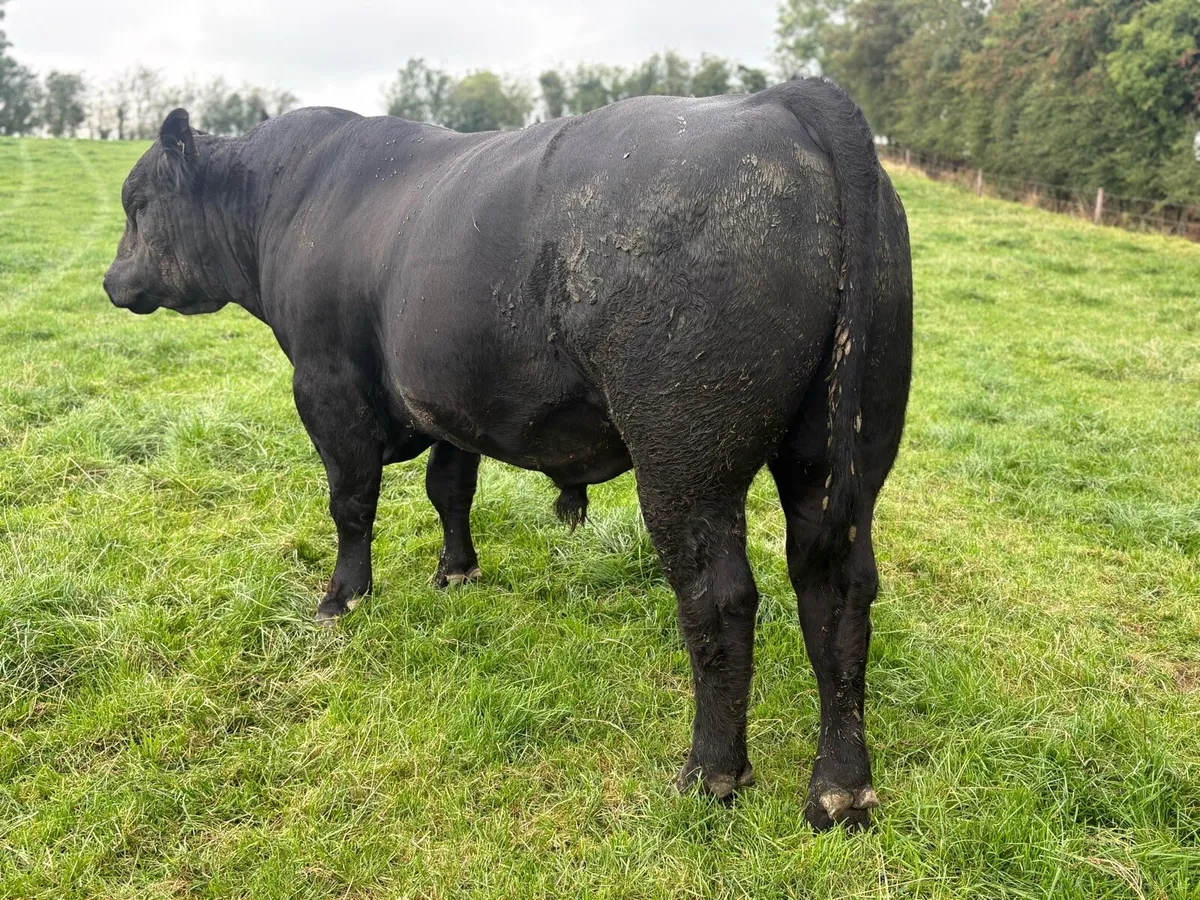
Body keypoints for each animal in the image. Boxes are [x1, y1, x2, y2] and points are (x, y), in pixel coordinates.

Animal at [104, 78, 912, 830]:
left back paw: (710, 772)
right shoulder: (449, 401)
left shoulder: (326, 385)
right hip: (839, 455)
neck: (285, 202)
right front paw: (457, 571)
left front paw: (342, 598)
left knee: (720, 599)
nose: (112, 281)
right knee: (836, 591)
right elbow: (449, 486)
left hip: (687, 461)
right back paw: (840, 790)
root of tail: (778, 101)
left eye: (138, 204)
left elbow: (351, 502)